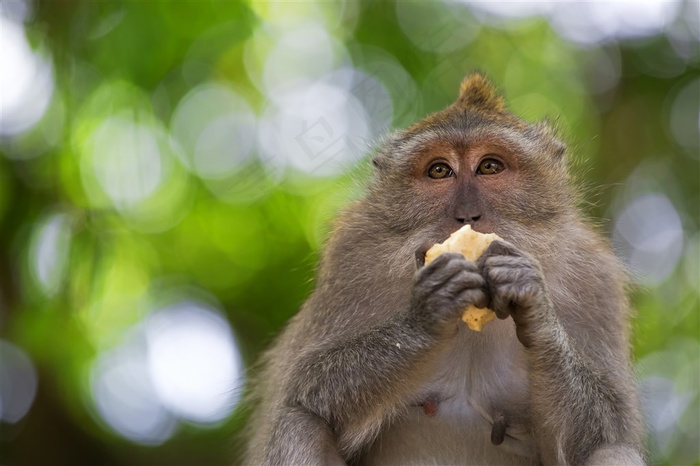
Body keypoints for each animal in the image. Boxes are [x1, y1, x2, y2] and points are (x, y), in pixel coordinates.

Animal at [243, 73, 644, 466]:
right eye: (439, 171)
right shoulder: (352, 255)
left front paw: (533, 303)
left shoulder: (595, 278)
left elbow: (607, 428)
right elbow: (306, 386)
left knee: (614, 451)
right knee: (300, 423)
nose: (467, 214)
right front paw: (428, 314)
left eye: (490, 167)